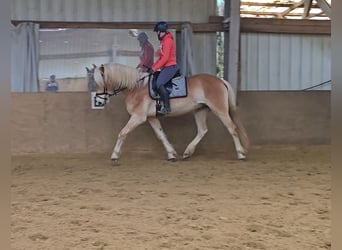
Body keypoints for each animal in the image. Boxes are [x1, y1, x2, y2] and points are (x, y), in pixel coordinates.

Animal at [87, 61, 250, 165]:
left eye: (100, 82)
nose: (99, 101)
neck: (136, 87)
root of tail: (220, 80)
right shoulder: (151, 117)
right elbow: (161, 135)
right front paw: (171, 154)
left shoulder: (138, 117)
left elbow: (123, 133)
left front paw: (114, 156)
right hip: (200, 110)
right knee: (202, 130)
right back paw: (187, 152)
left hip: (219, 109)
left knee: (232, 128)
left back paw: (241, 154)